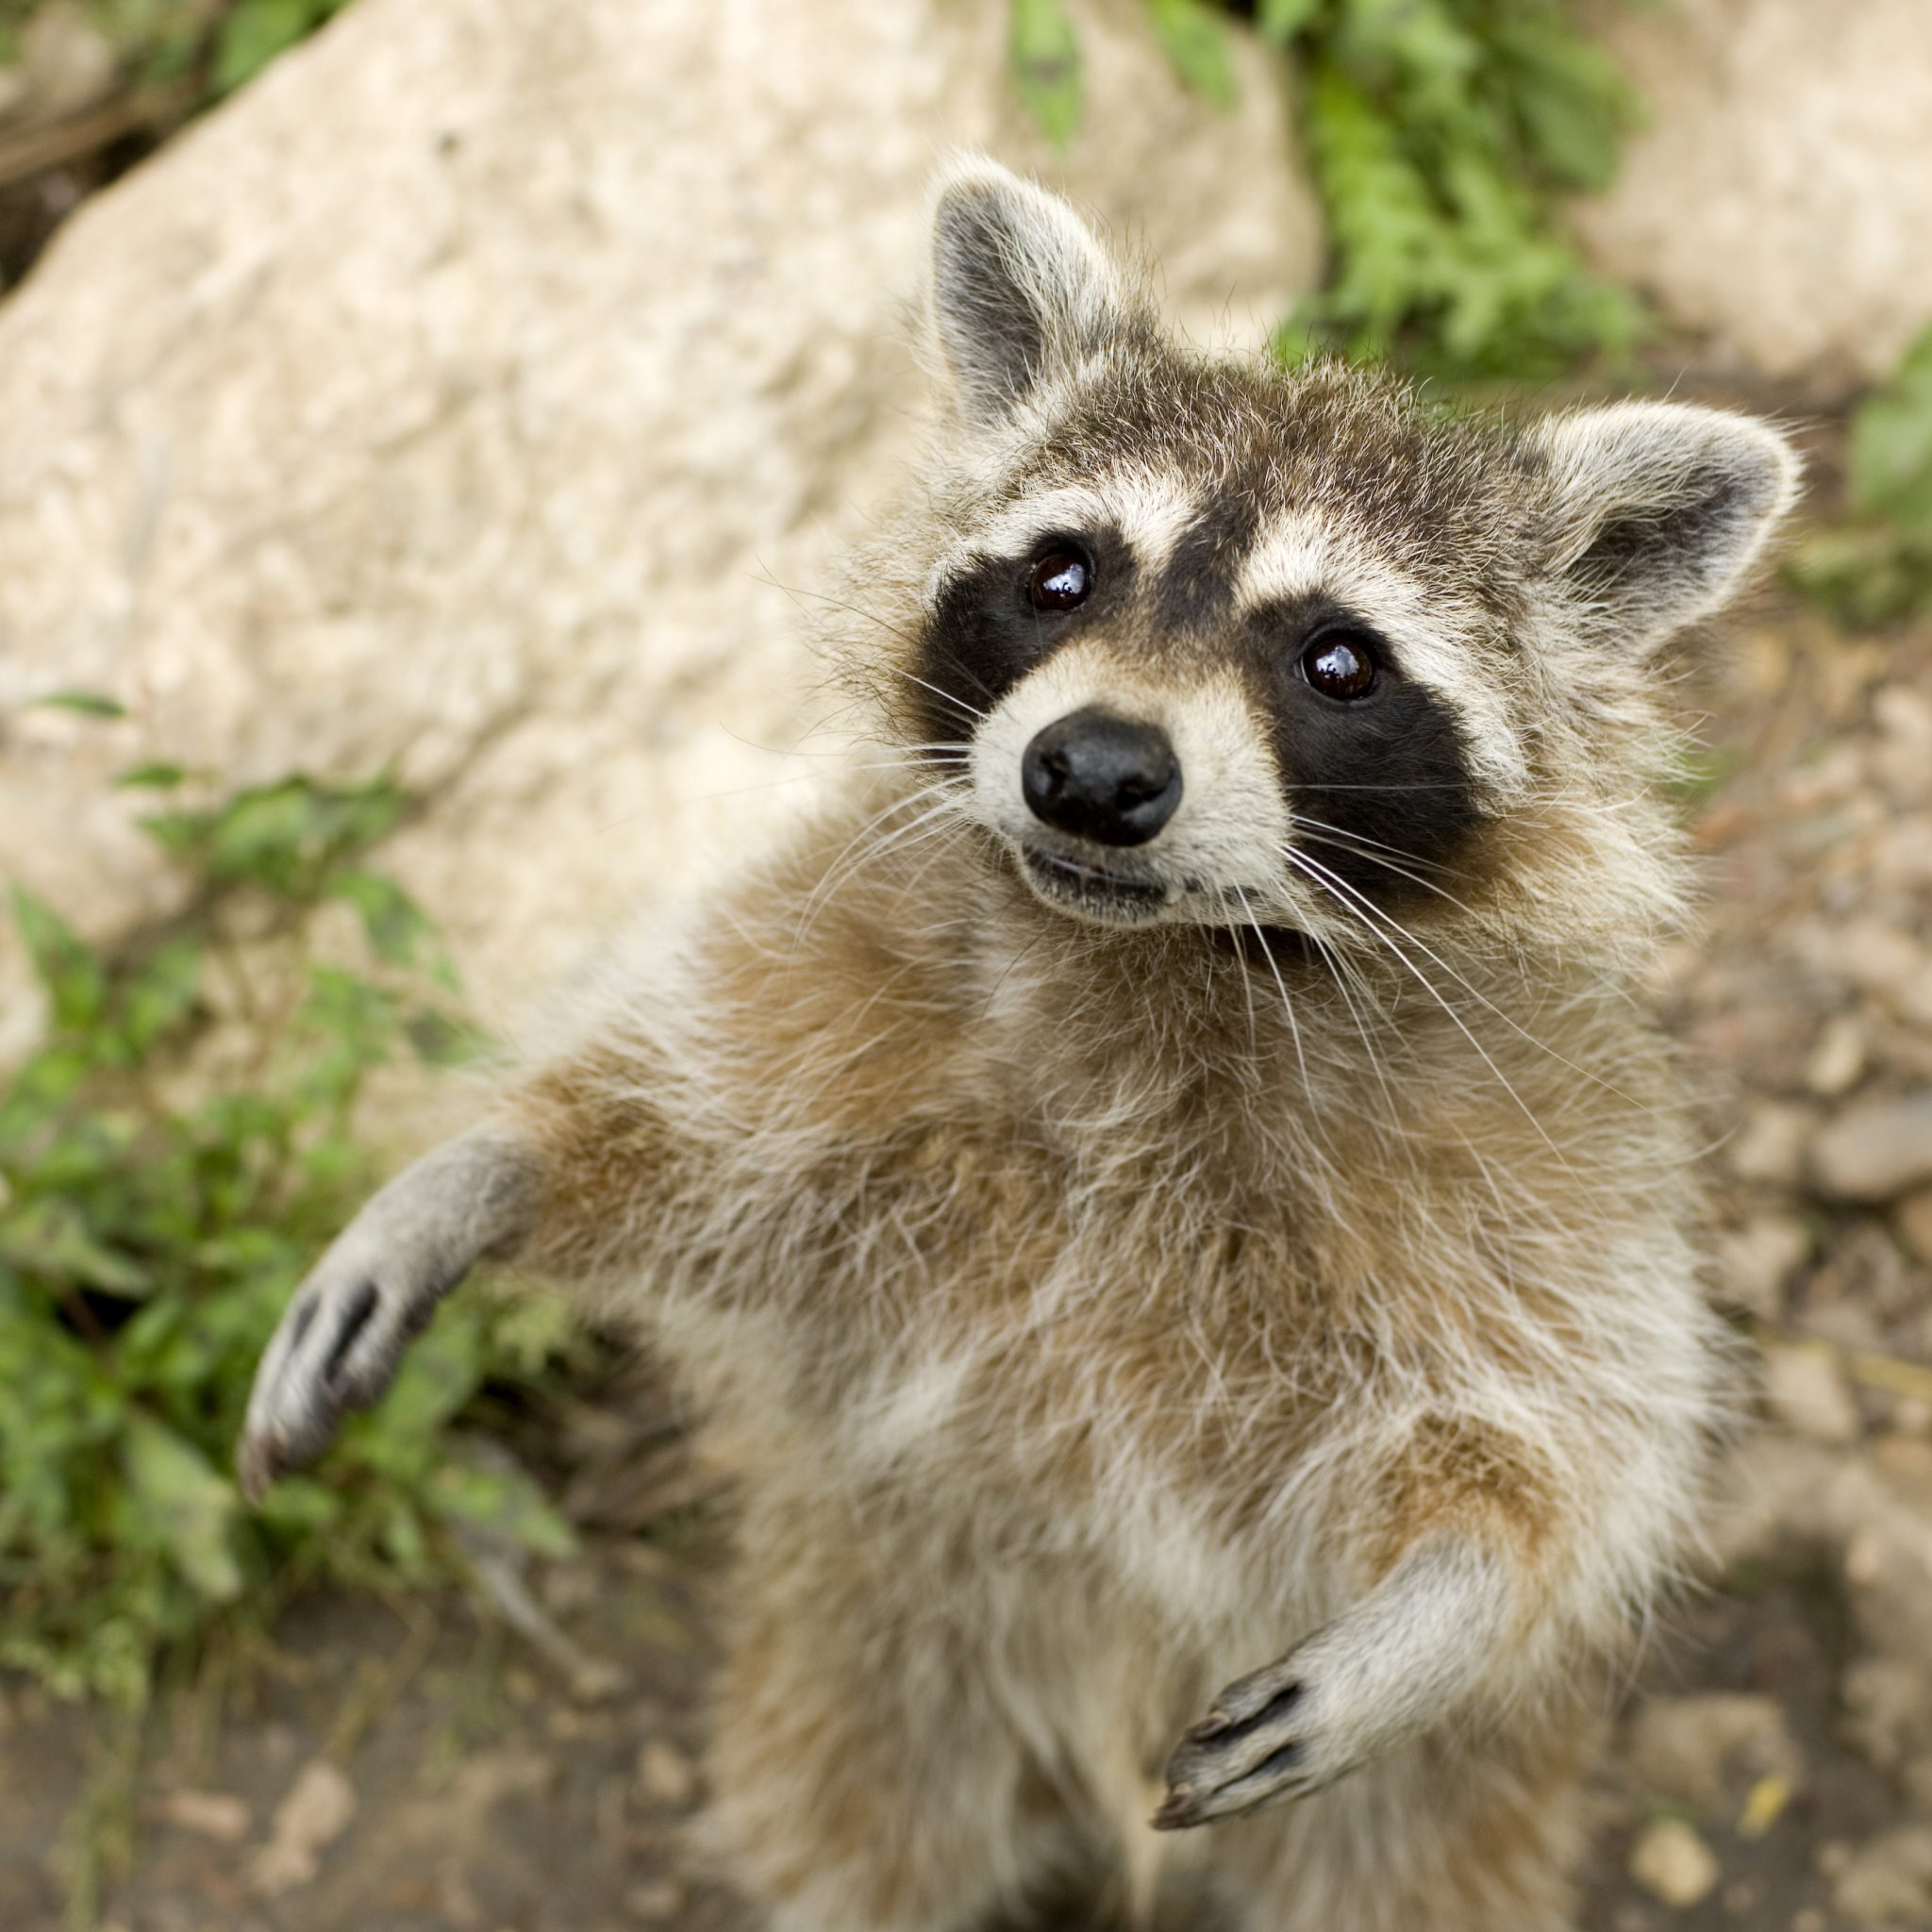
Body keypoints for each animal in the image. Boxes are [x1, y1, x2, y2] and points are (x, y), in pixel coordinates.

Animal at [240, 158, 1799, 1932]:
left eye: (1335, 657)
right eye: (1063, 573)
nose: (1095, 769)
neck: (1156, 955)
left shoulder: (1529, 1128)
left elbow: (1563, 1434)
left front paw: (1454, 1592)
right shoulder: (858, 965)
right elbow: (681, 1112)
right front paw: (487, 1169)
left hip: (1415, 1804)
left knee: (1392, 1874)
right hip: (870, 1650)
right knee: (858, 1833)